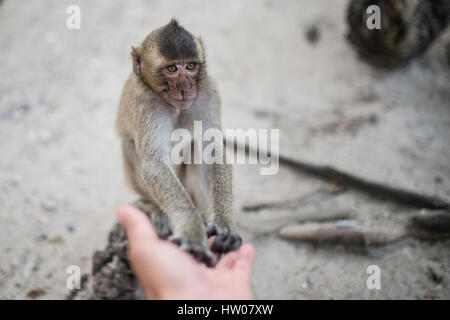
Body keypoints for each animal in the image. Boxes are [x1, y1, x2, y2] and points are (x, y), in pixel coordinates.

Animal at [116, 18, 243, 266]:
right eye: (173, 69)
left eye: (191, 66)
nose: (186, 88)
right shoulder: (145, 102)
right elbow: (154, 162)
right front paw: (192, 233)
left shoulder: (207, 90)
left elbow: (211, 147)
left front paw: (225, 224)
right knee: (130, 147)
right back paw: (157, 210)